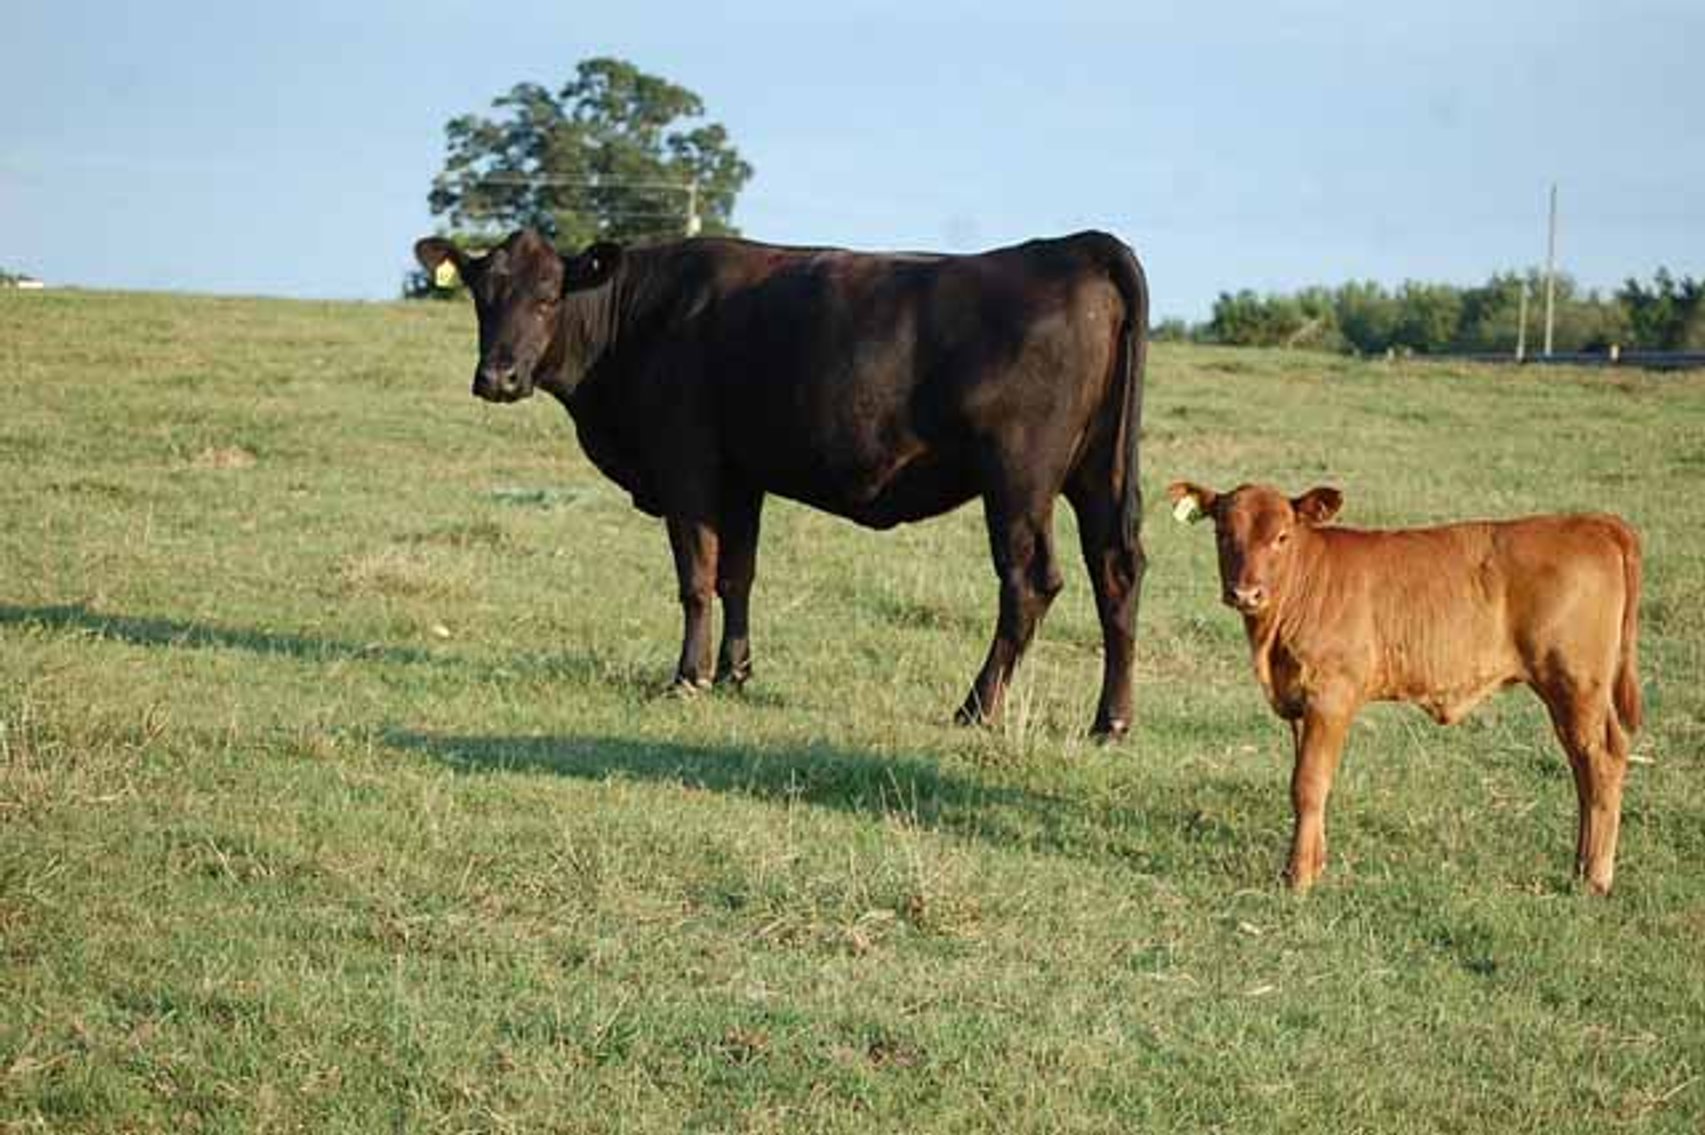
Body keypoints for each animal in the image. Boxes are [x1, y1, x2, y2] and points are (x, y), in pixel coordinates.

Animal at [415, 228, 1151, 737]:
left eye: (547, 299)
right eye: (481, 297)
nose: (497, 377)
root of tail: (1073, 247)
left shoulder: (687, 463)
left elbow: (697, 577)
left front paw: (688, 677)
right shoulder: (742, 474)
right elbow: (738, 574)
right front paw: (735, 672)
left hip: (1018, 479)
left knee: (1029, 583)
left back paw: (975, 708)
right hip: (1096, 473)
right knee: (1115, 572)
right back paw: (1109, 721)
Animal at [1165, 480, 1643, 895]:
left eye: (1282, 536)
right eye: (1222, 532)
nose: (1246, 593)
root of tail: (1591, 522)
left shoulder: (1330, 697)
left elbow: (1310, 783)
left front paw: (1298, 878)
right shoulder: (1299, 703)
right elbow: (1300, 783)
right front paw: (1310, 865)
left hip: (1576, 682)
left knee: (1601, 760)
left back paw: (1595, 878)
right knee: (1584, 766)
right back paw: (1580, 866)